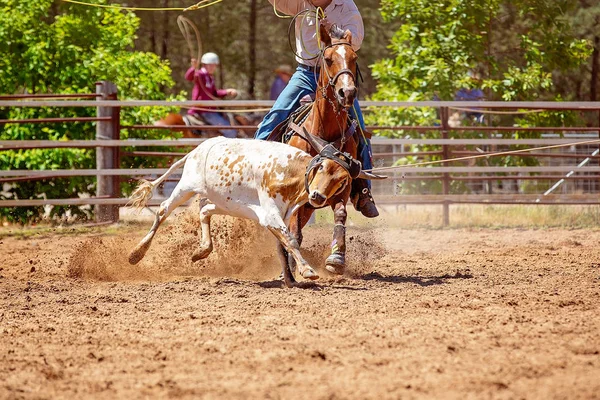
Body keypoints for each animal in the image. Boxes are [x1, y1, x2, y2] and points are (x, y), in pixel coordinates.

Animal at [126, 138, 358, 288]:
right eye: (322, 168)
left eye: (342, 180)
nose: (318, 196)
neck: (288, 172)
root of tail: (197, 149)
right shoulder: (271, 215)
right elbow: (290, 241)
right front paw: (307, 271)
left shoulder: (279, 217)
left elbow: (283, 245)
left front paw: (290, 280)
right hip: (186, 187)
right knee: (163, 210)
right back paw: (136, 253)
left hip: (224, 202)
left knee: (205, 211)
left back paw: (202, 250)